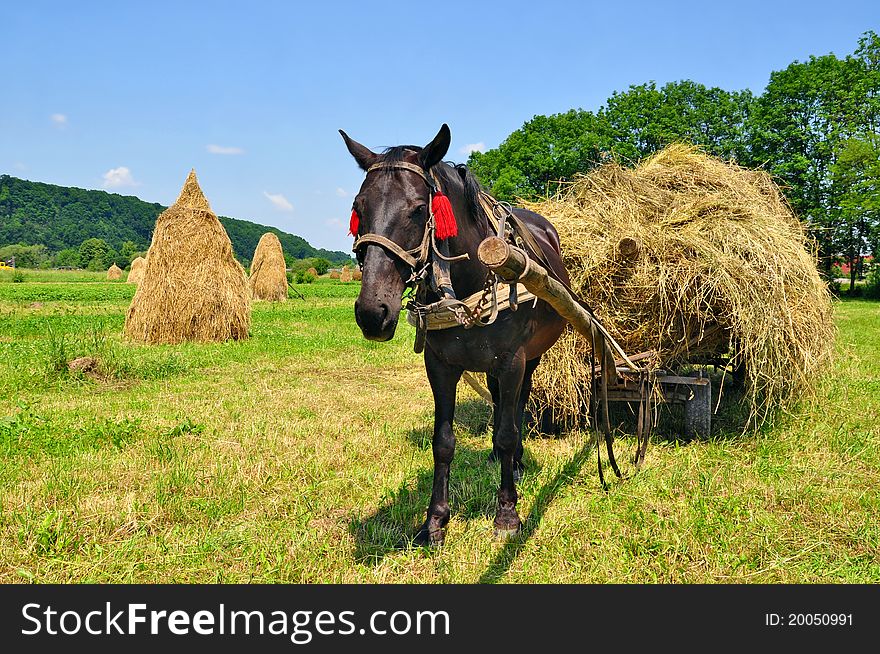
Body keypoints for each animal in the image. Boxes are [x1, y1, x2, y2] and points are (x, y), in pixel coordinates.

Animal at [336, 125, 572, 544]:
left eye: (418, 208)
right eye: (358, 208)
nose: (372, 313)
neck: (469, 285)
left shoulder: (512, 361)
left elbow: (508, 431)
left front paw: (507, 513)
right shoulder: (440, 366)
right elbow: (443, 442)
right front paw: (435, 521)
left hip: (532, 357)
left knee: (519, 404)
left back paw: (517, 460)